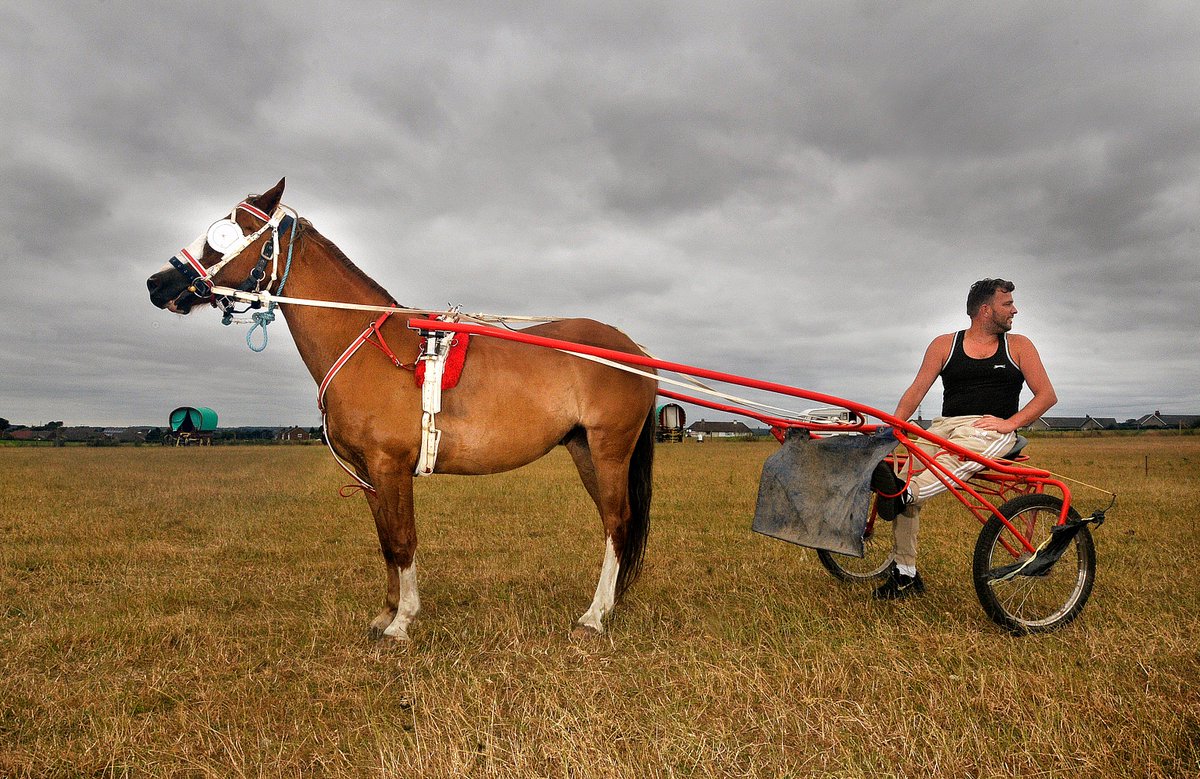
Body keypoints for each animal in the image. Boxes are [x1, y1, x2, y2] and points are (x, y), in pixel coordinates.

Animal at [146, 178, 657, 640]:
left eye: (227, 231)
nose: (157, 283)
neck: (367, 345)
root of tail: (635, 350)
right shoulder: (369, 474)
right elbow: (386, 542)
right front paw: (386, 613)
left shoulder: (389, 466)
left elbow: (403, 539)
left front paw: (402, 622)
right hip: (584, 450)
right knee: (614, 523)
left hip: (609, 451)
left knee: (617, 522)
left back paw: (594, 616)